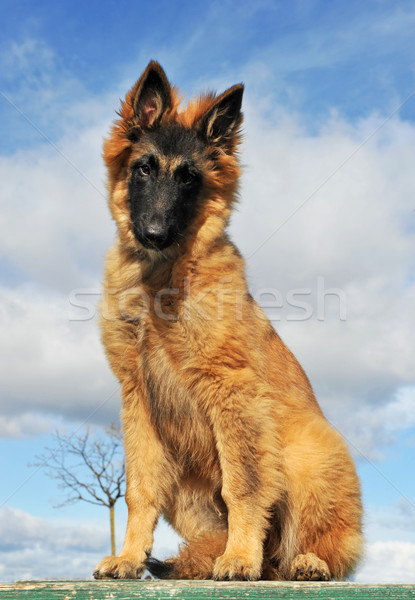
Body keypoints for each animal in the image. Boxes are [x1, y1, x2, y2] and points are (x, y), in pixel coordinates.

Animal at [92, 62, 362, 580]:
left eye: (189, 179)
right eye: (143, 168)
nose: (154, 234)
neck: (161, 278)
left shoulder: (232, 391)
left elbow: (245, 484)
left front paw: (239, 558)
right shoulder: (137, 399)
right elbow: (139, 489)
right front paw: (130, 557)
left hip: (305, 453)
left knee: (322, 549)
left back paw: (304, 562)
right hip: (183, 478)